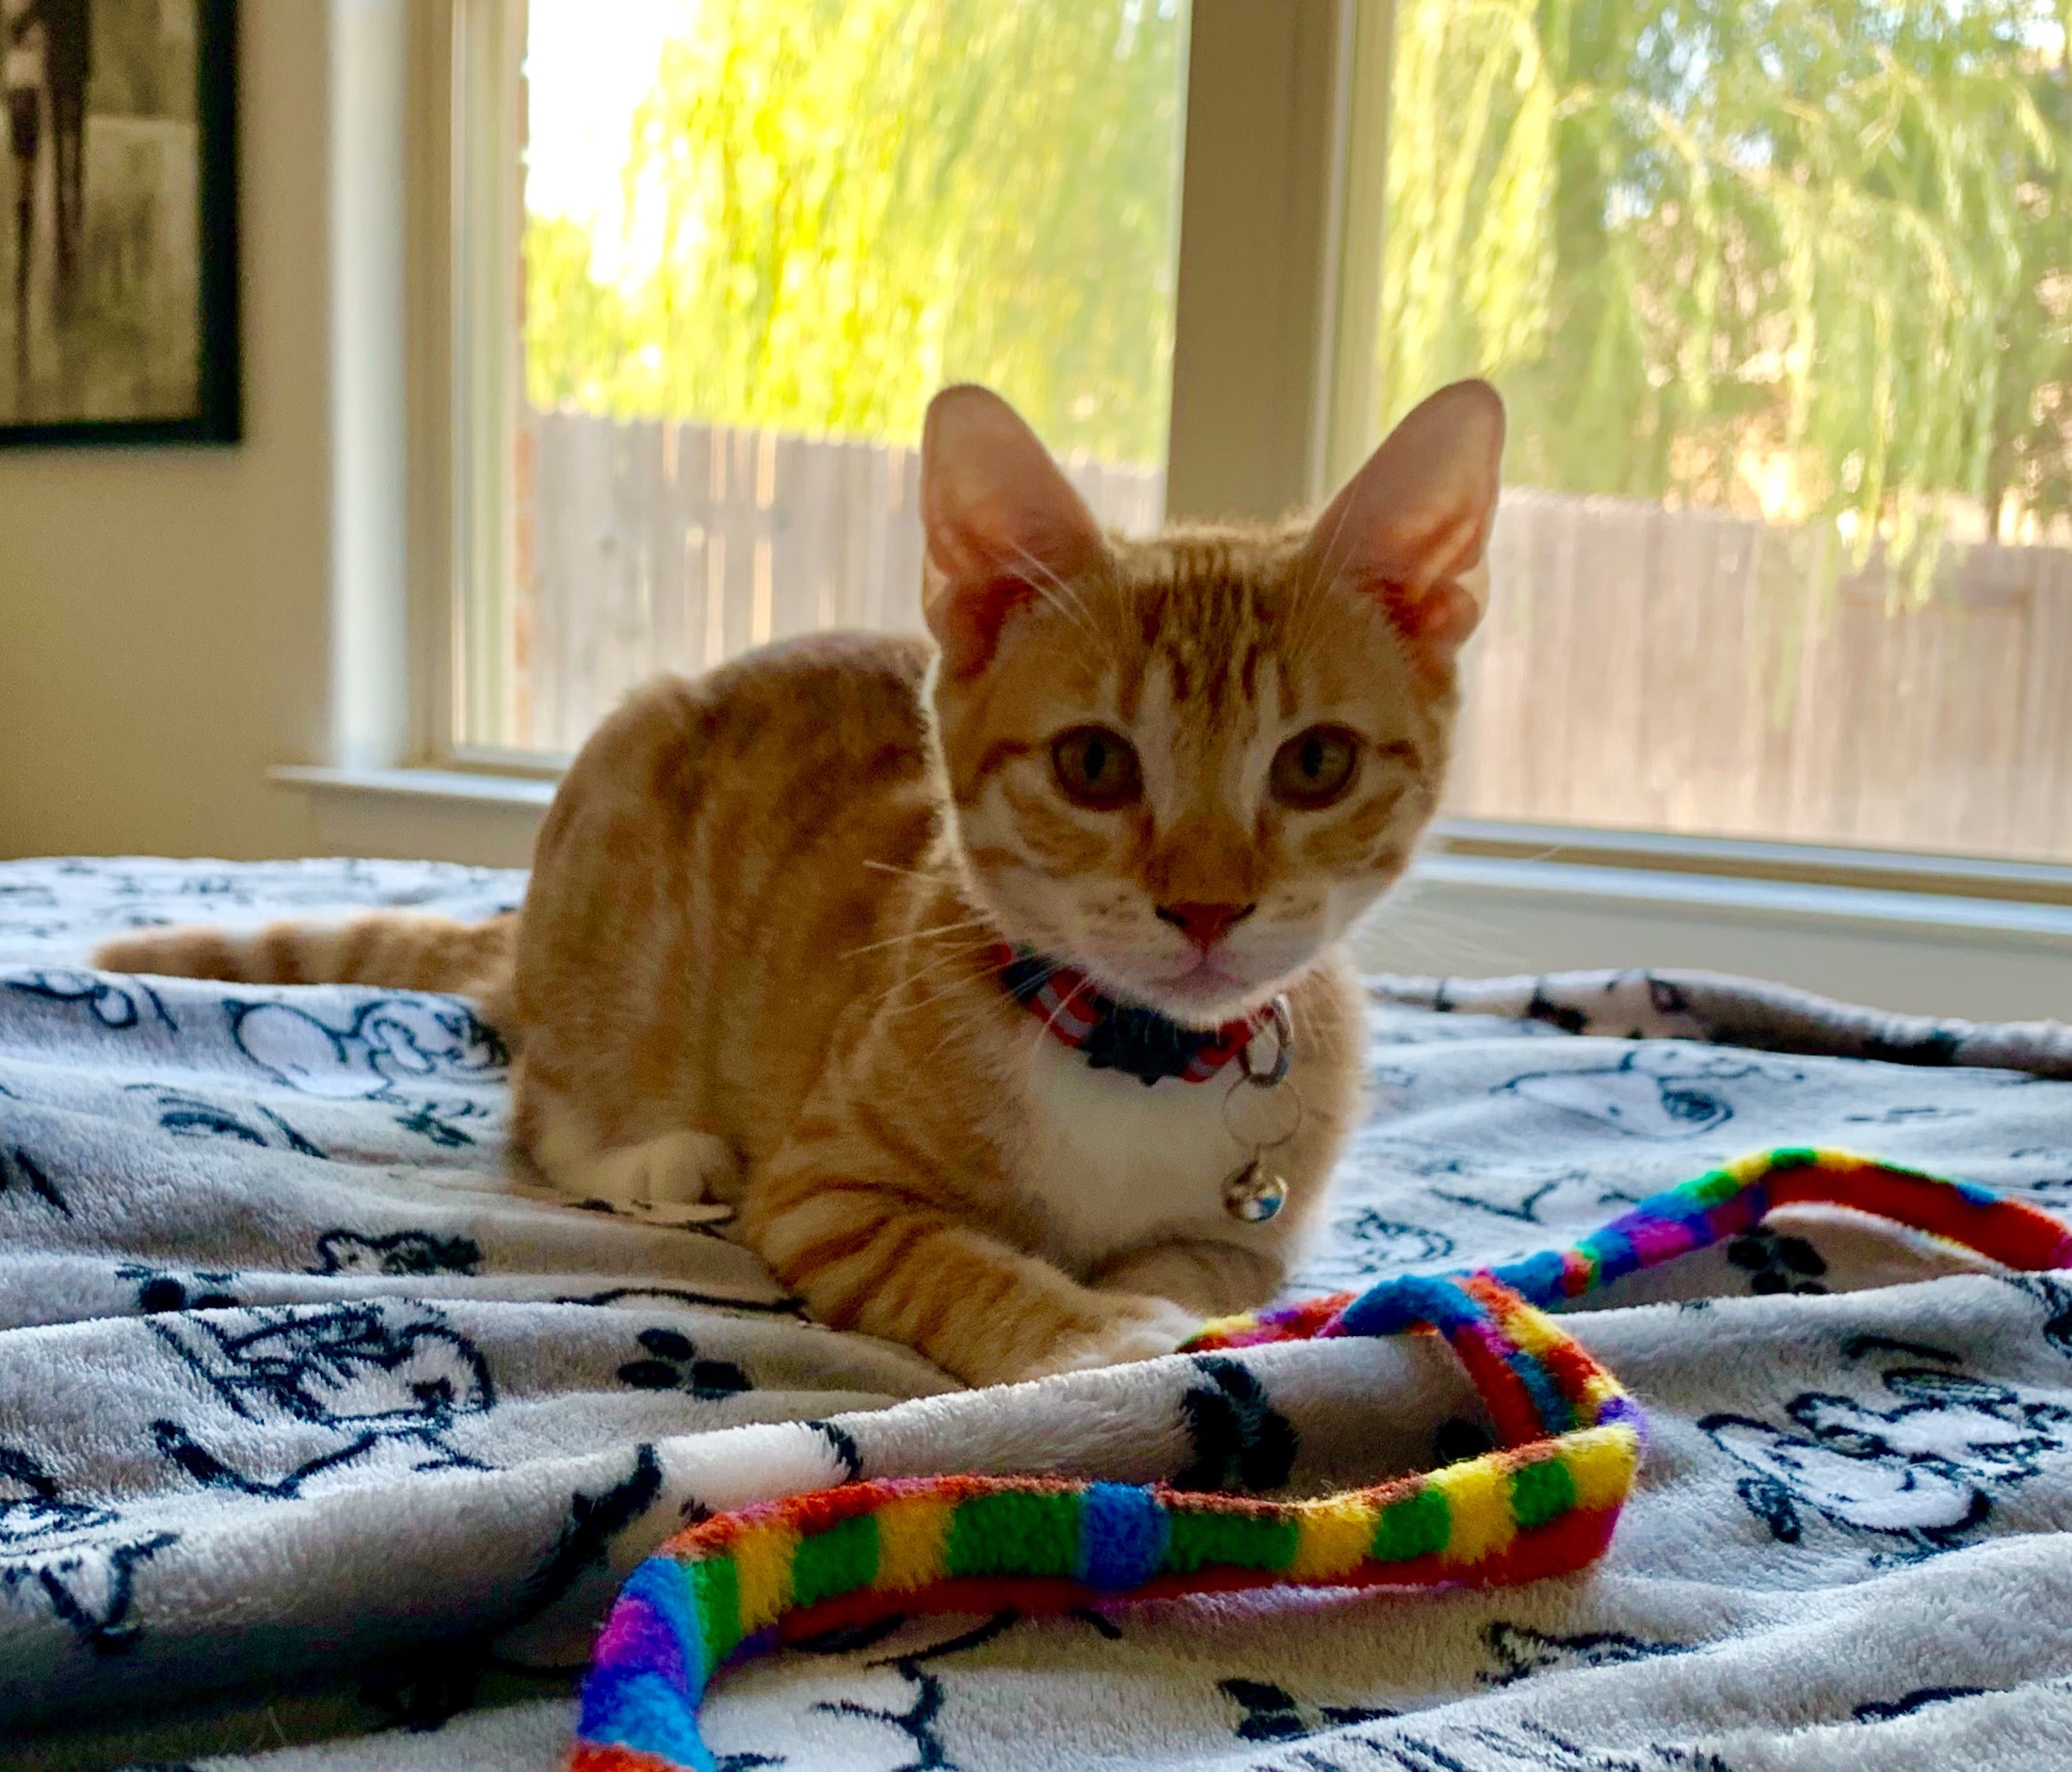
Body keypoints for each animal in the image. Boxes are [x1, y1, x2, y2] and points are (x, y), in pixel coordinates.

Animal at [93, 381, 1508, 1393]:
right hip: (615, 873)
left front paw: (1151, 1295)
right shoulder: (825, 1184)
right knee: (544, 1101)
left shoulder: (1262, 1229)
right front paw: (1097, 1334)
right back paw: (653, 1153)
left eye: (1315, 763)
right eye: (1093, 764)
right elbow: (945, 1256)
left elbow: (1211, 1260)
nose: (1207, 908)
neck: (1136, 1055)